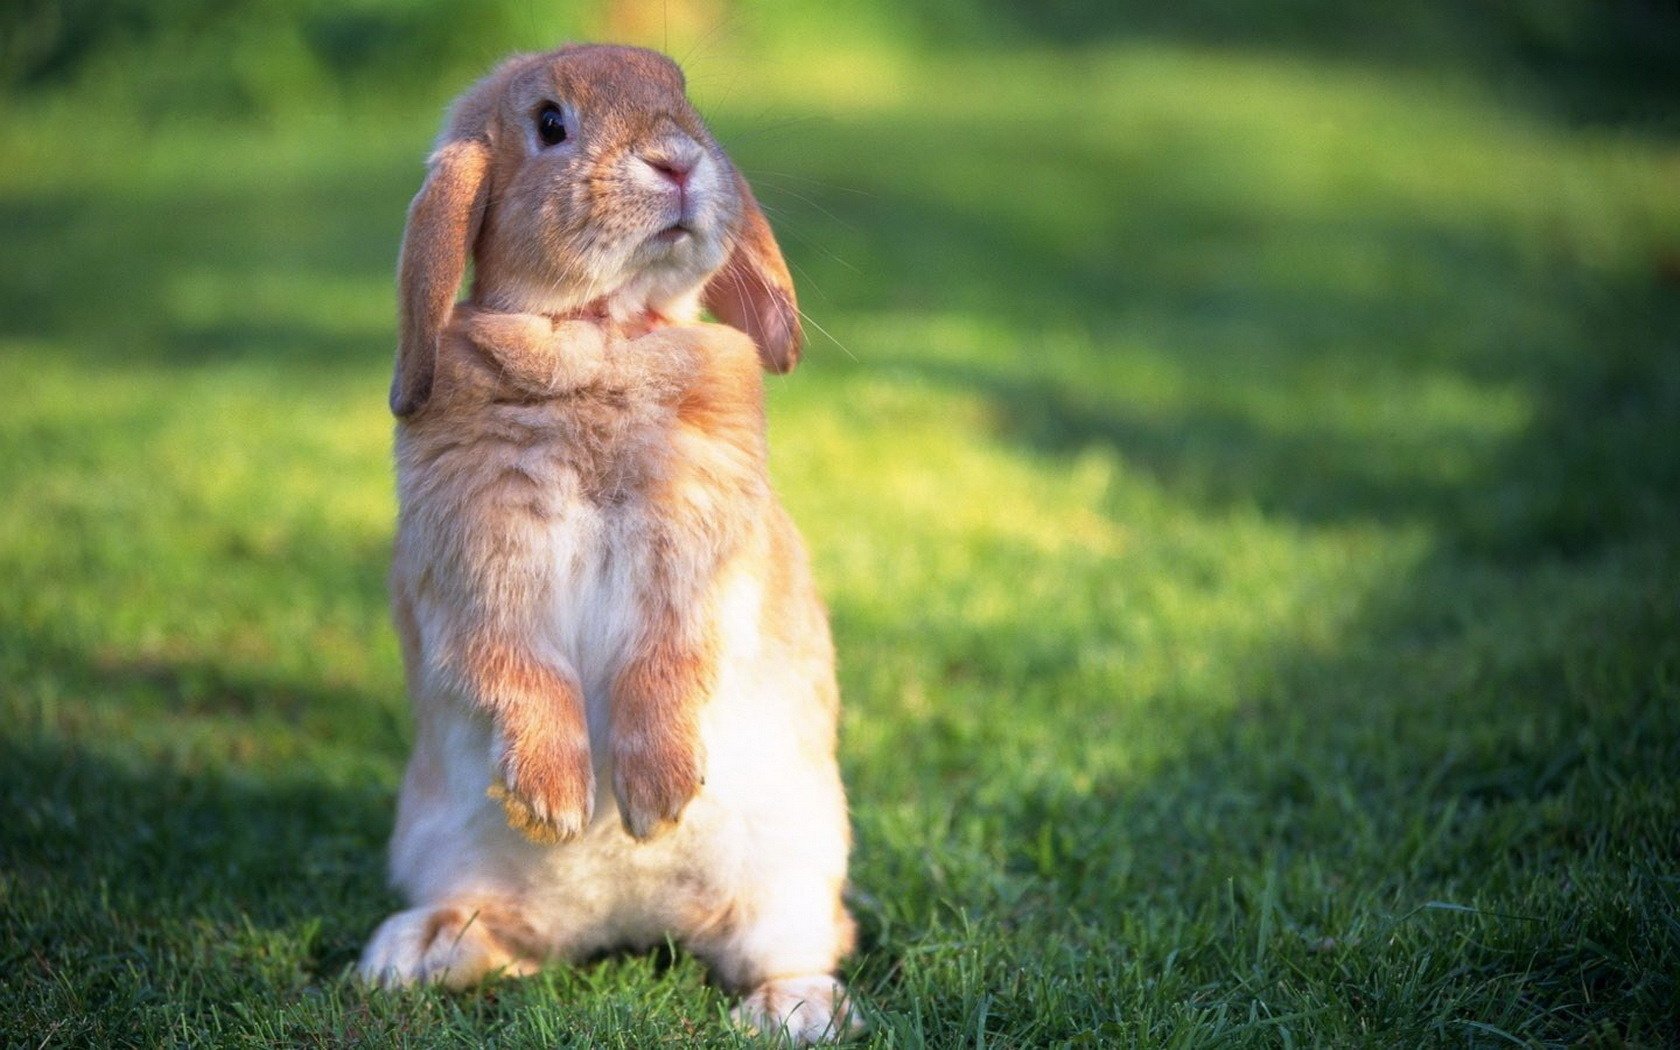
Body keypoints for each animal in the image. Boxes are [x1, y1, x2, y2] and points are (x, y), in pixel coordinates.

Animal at [355, 45, 857, 1044]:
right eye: (550, 123)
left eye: (684, 96)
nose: (678, 161)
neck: (600, 333)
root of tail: (627, 924)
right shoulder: (478, 571)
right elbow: (519, 668)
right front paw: (555, 802)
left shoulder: (697, 564)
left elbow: (665, 664)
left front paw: (657, 800)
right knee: (509, 938)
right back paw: (412, 952)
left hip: (793, 875)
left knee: (796, 945)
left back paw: (792, 1009)